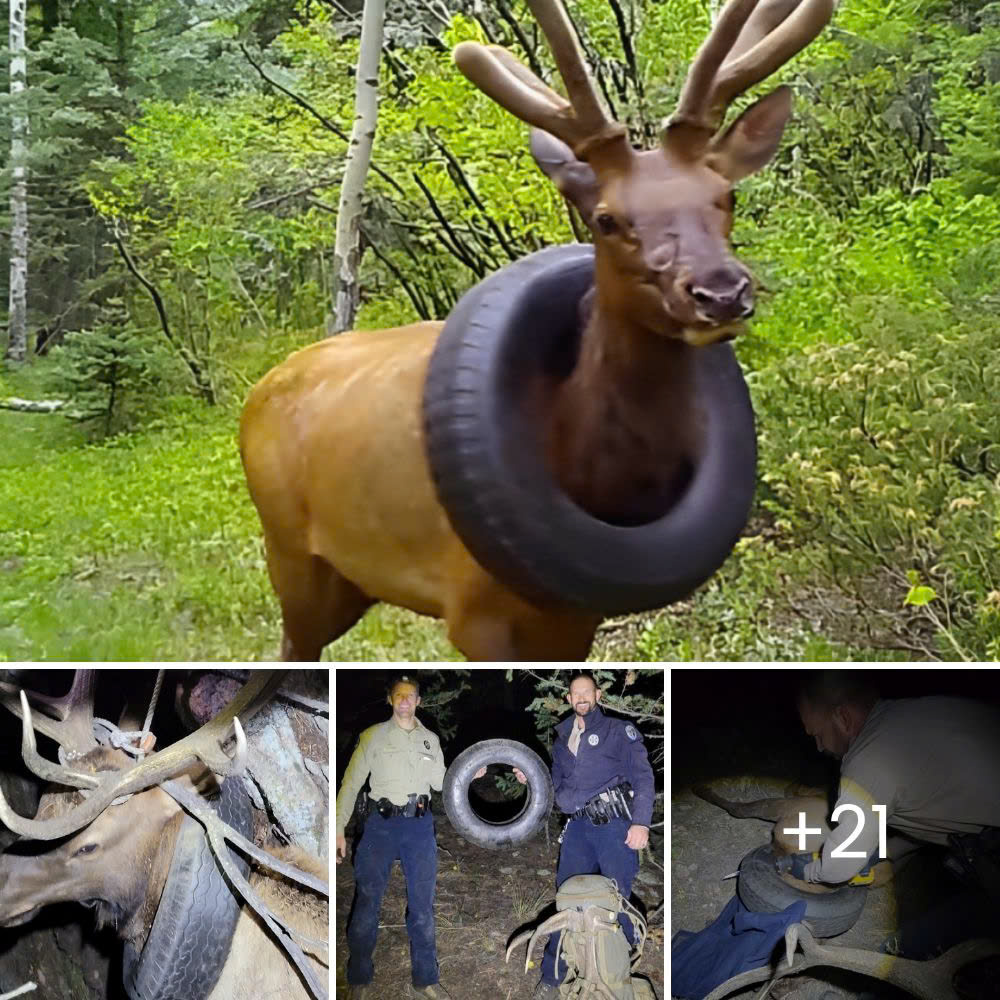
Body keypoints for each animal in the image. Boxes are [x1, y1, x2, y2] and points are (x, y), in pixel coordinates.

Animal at [242, 0, 836, 664]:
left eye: (725, 195)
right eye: (606, 218)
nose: (721, 291)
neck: (590, 472)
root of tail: (259, 390)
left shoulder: (575, 616)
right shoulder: (473, 608)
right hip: (290, 553)